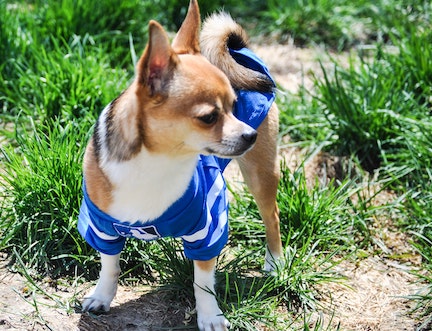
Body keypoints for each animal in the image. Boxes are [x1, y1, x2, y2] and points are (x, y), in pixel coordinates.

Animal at [79, 1, 282, 330]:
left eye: (234, 105)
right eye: (209, 117)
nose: (249, 134)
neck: (157, 162)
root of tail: (240, 50)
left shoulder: (208, 229)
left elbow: (203, 281)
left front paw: (210, 316)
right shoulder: (102, 227)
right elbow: (109, 265)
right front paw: (102, 297)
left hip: (259, 172)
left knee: (271, 216)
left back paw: (275, 263)